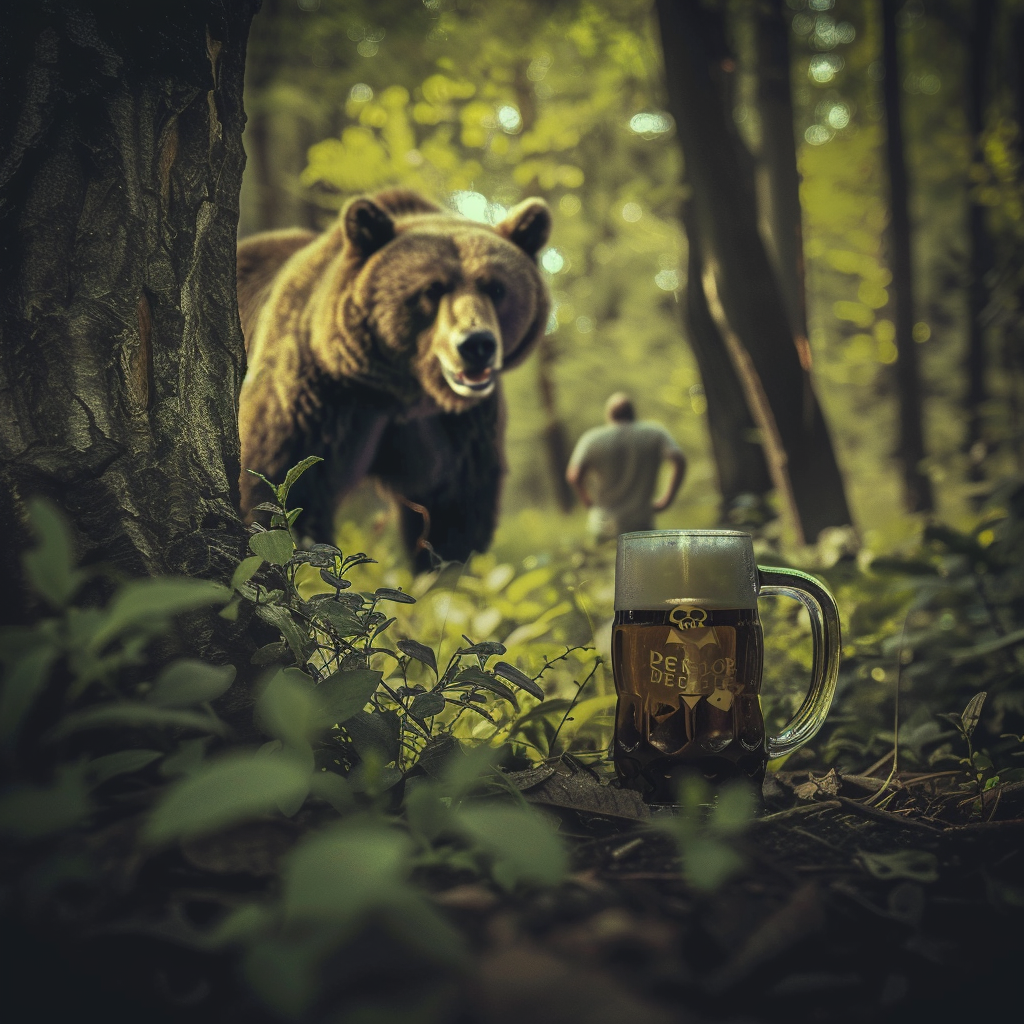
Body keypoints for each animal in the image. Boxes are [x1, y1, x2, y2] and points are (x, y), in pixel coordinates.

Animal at [236, 190, 552, 569]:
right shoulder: (317, 398)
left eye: (496, 287)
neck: (402, 390)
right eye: (432, 289)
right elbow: (282, 489)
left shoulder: (456, 426)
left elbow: (454, 515)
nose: (476, 344)